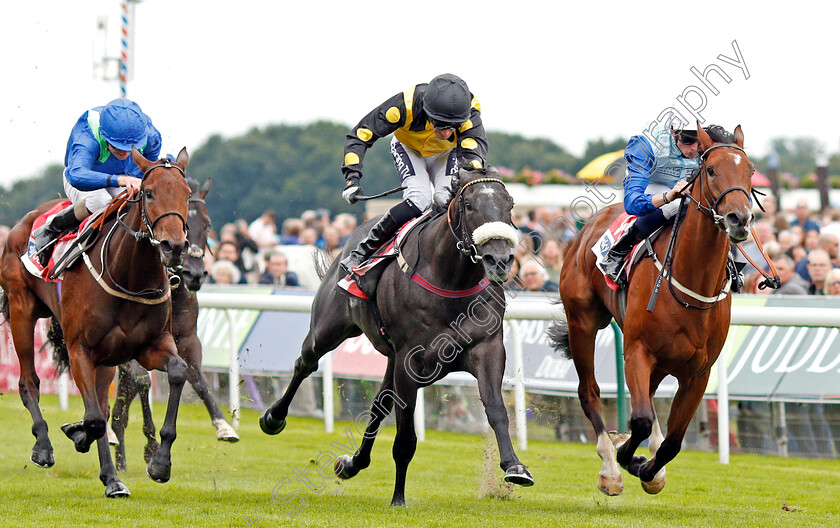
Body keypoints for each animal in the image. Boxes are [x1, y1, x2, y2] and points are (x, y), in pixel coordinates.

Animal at [0, 147, 192, 496]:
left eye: (187, 194)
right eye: (148, 192)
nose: (174, 246)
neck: (128, 275)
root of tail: (23, 223)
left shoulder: (151, 345)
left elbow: (177, 371)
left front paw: (160, 463)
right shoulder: (80, 349)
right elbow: (93, 419)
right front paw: (77, 435)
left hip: (106, 357)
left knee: (100, 404)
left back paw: (111, 477)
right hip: (22, 309)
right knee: (29, 382)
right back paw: (43, 446)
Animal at [110, 175, 238, 472]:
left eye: (208, 224)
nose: (195, 274)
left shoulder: (188, 340)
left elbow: (198, 379)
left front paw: (224, 425)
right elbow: (143, 381)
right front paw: (151, 446)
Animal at [258, 168, 532, 508]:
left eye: (510, 205)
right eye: (469, 205)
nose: (499, 260)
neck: (451, 281)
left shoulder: (487, 348)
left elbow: (496, 409)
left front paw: (514, 466)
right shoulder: (409, 359)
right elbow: (405, 437)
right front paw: (398, 498)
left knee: (379, 404)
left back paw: (352, 463)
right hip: (328, 328)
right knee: (305, 363)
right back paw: (274, 417)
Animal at [552, 126, 756, 498]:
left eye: (750, 171)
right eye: (711, 170)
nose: (739, 219)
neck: (692, 280)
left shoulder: (698, 372)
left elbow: (673, 441)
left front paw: (648, 468)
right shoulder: (637, 350)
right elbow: (641, 420)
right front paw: (627, 459)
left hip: (662, 359)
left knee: (646, 398)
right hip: (582, 322)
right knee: (590, 392)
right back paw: (610, 468)